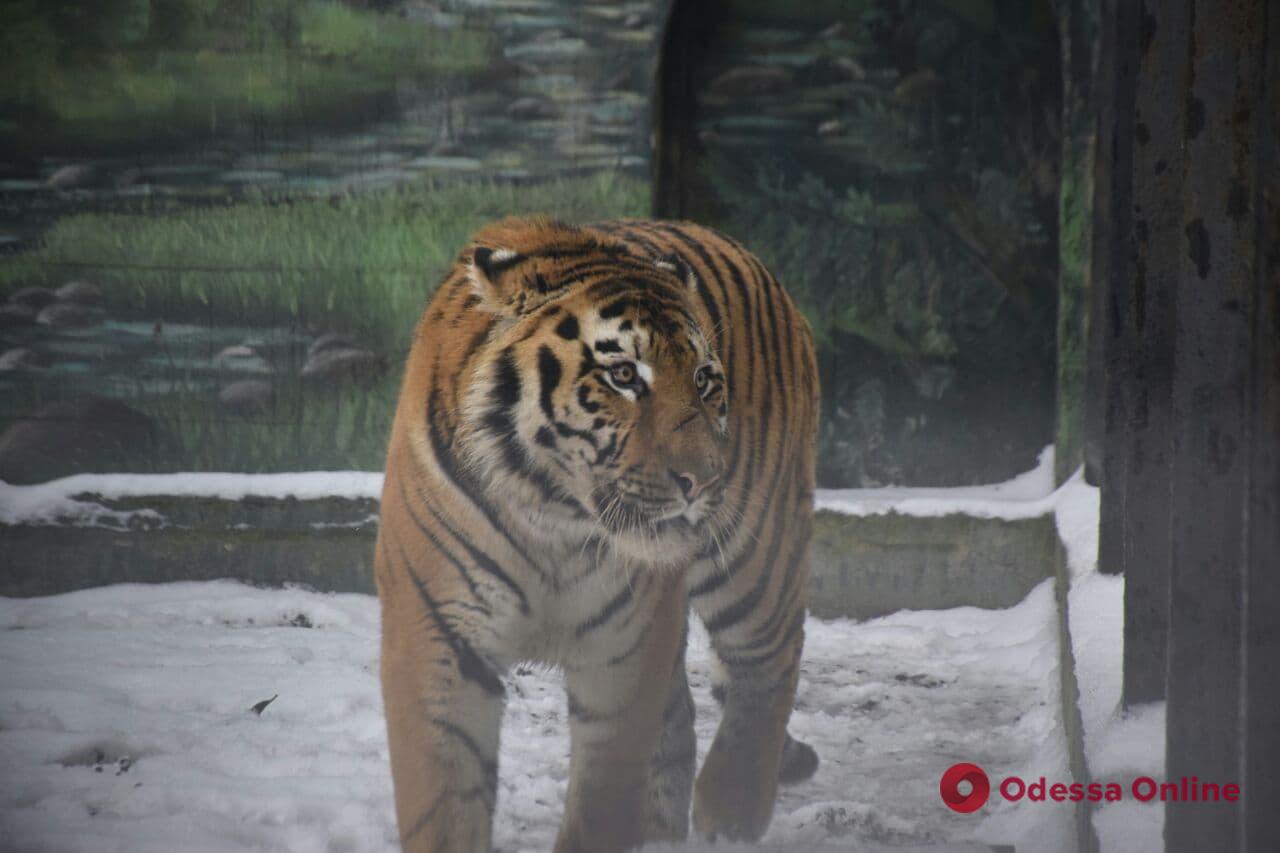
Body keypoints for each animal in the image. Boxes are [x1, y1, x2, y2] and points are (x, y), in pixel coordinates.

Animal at [373, 216, 819, 845]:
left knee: (769, 662)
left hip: (756, 552)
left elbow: (602, 805)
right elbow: (443, 805)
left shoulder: (623, 652)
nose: (705, 479)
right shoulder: (439, 638)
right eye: (624, 375)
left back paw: (730, 813)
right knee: (685, 720)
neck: (551, 516)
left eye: (705, 380)